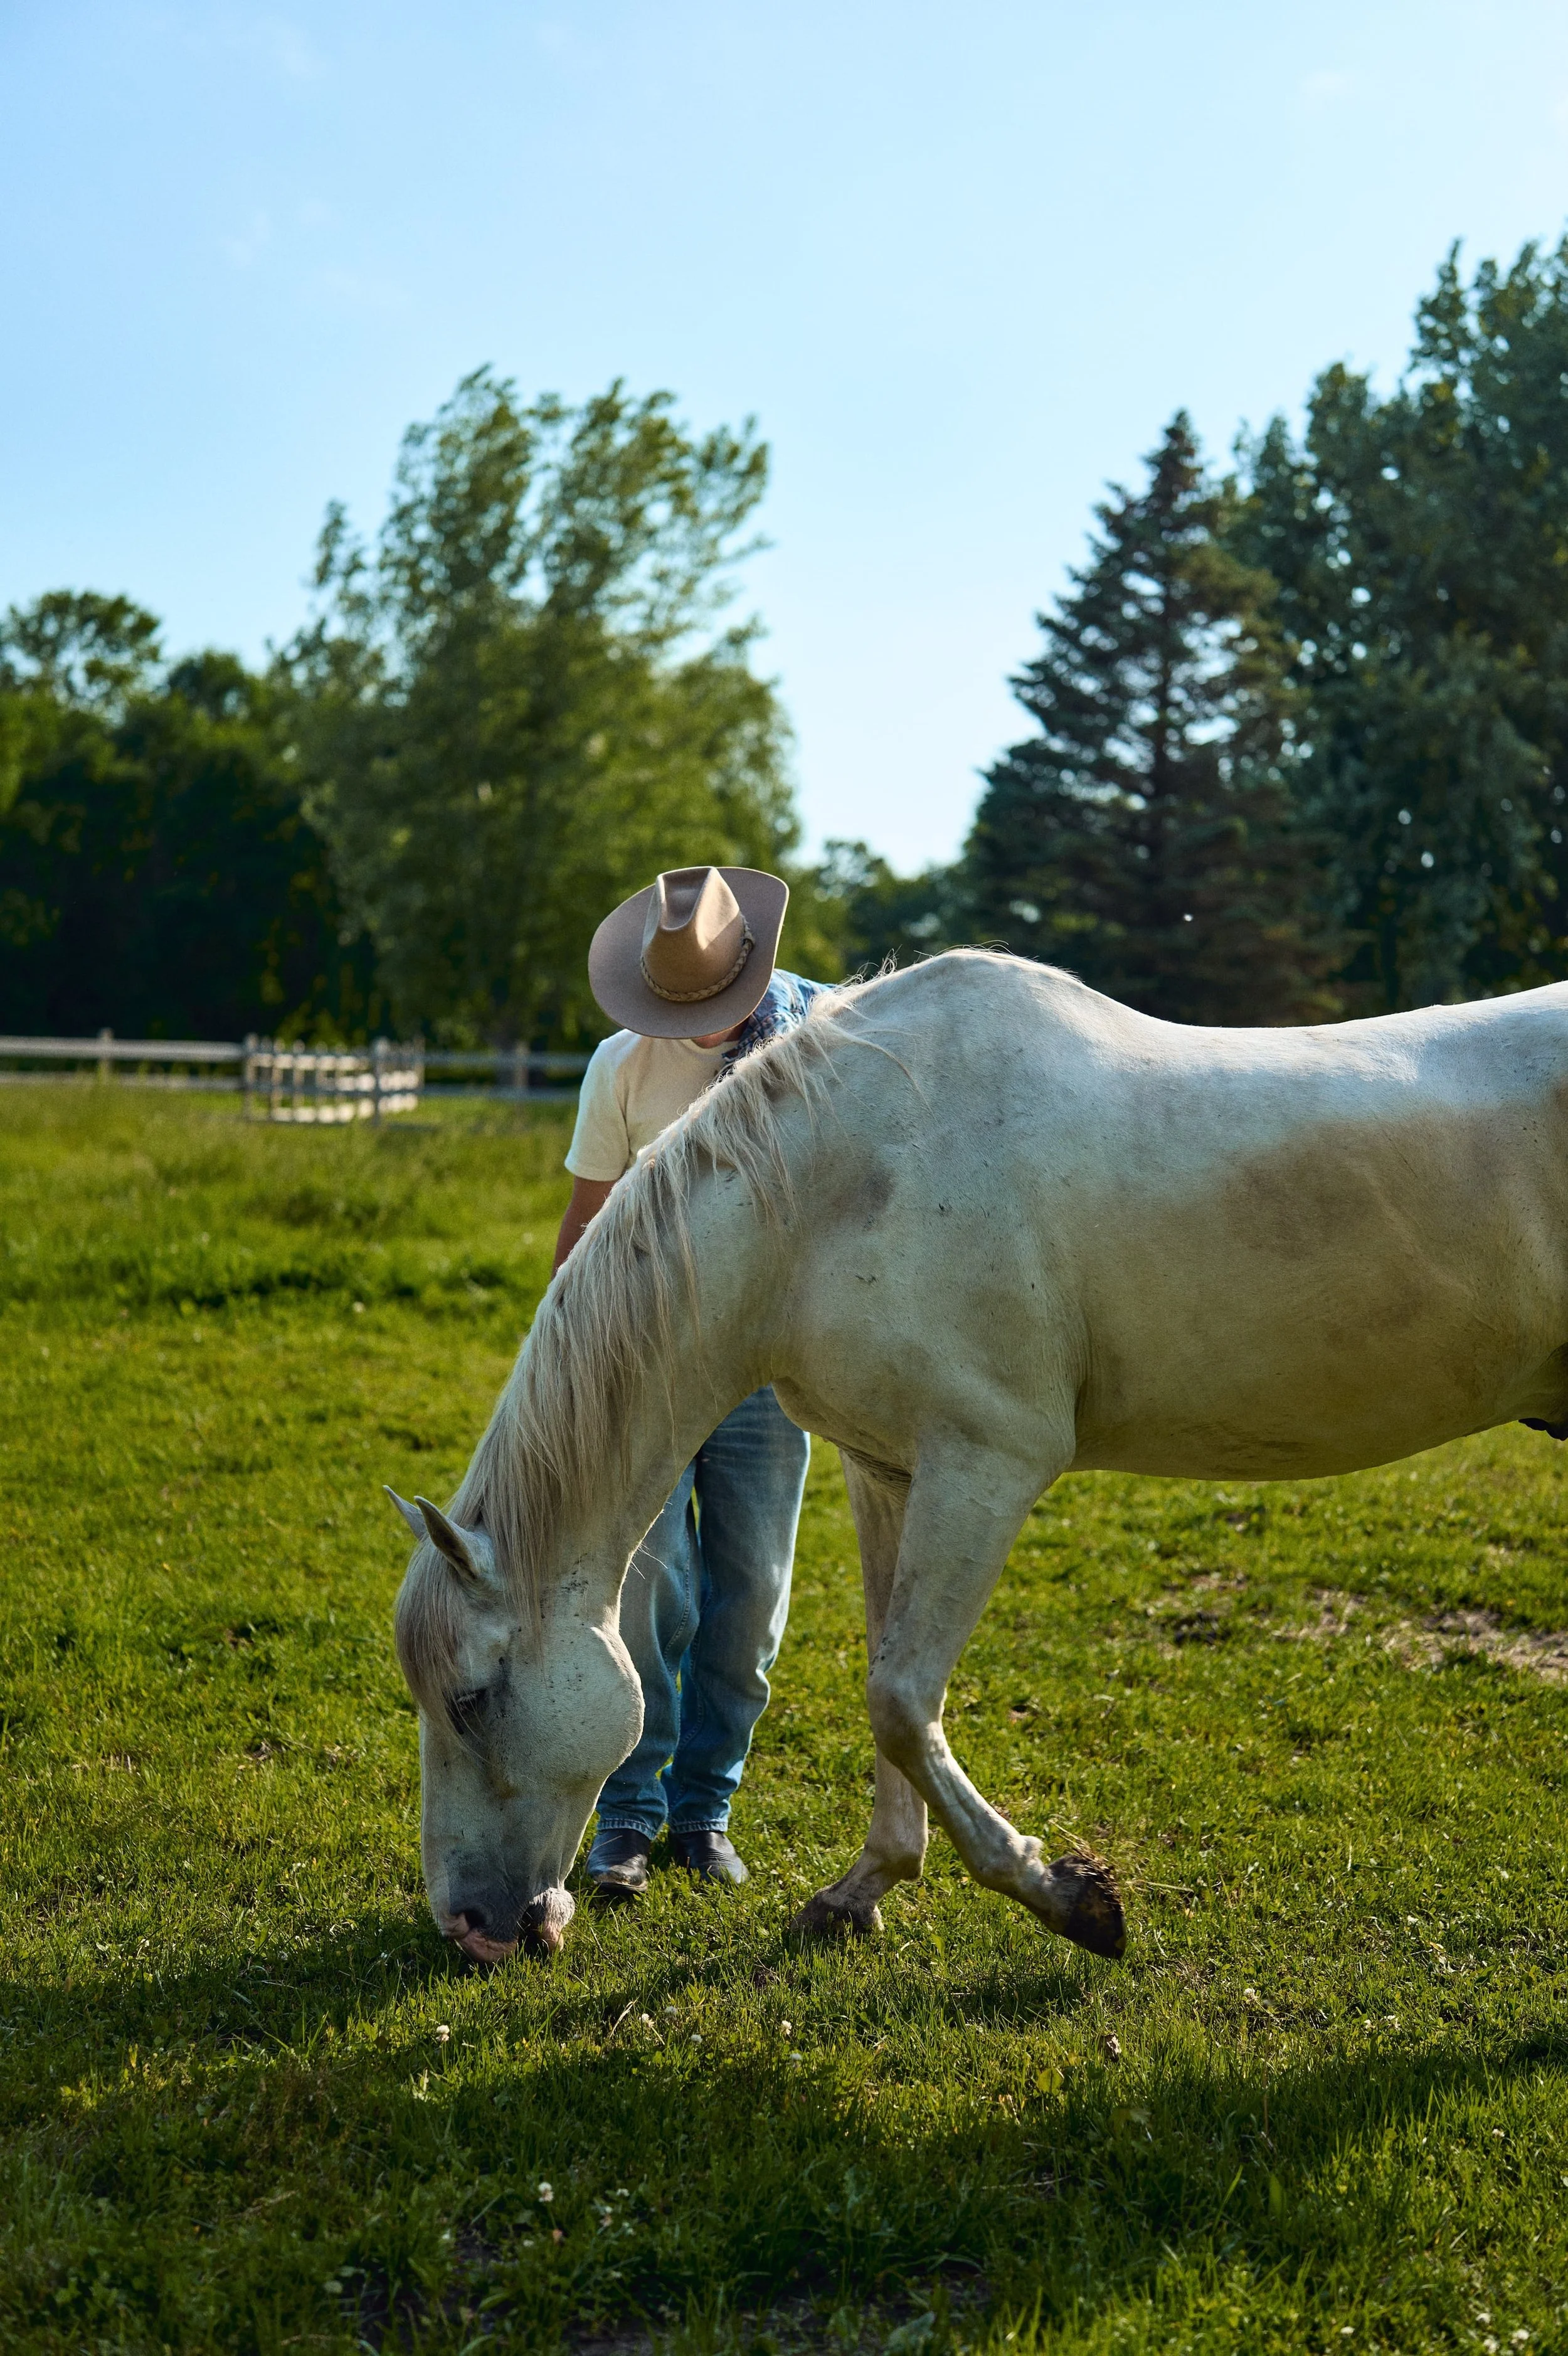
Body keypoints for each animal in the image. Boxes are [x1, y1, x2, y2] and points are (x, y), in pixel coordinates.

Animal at [387, 949, 1568, 1964]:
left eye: (472, 1701)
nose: (471, 1926)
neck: (843, 1184)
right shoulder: (889, 1473)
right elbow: (888, 1687)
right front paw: (862, 1890)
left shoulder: (985, 1468)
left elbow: (902, 1699)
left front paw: (1073, 1899)